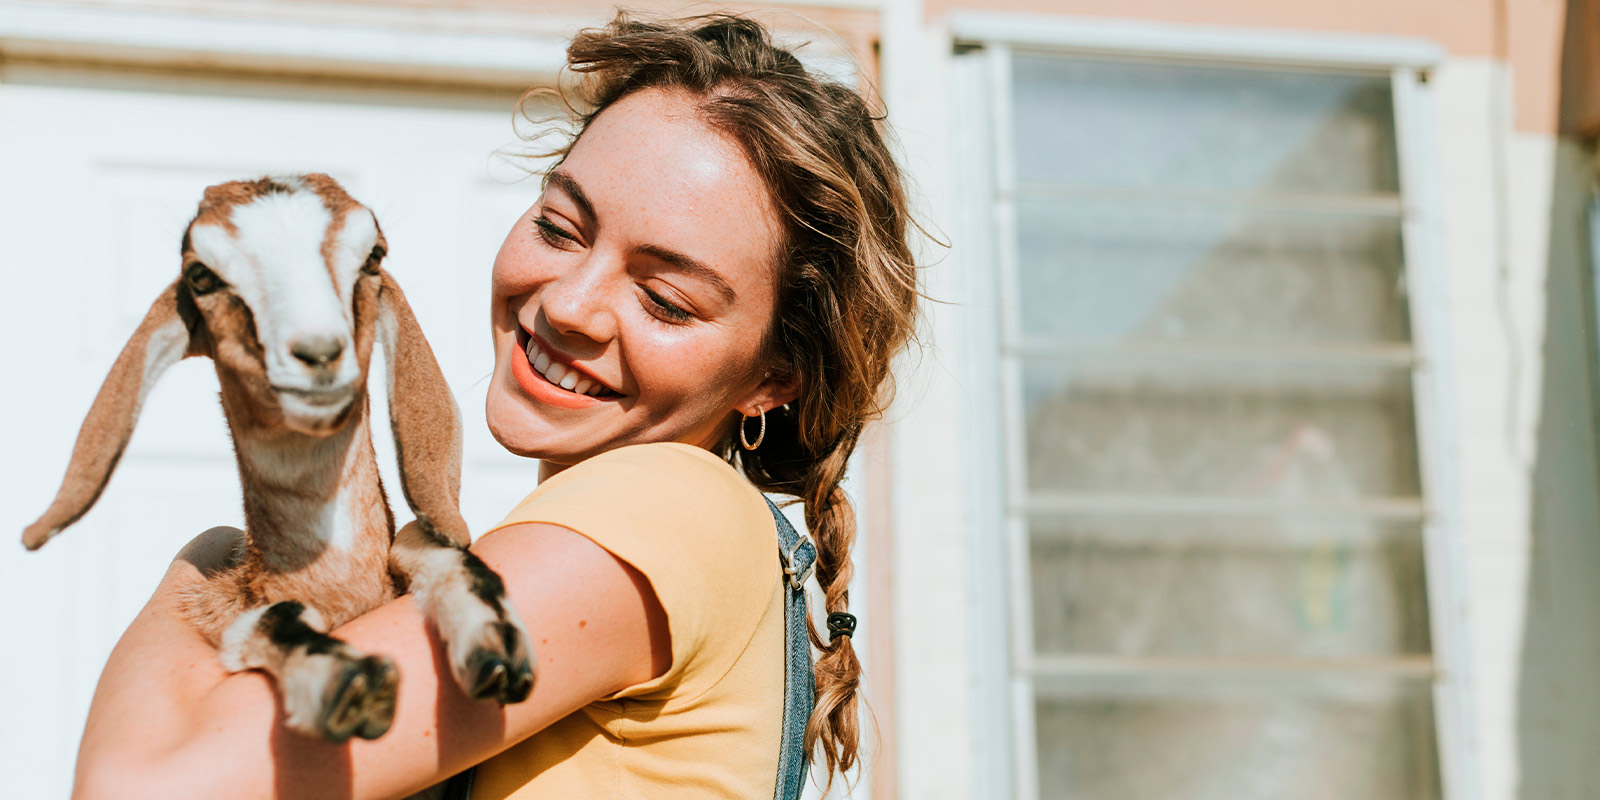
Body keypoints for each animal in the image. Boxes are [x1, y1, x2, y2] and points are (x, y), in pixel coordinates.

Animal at [25, 175, 534, 742]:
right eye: (200, 275)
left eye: (373, 256)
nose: (319, 353)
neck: (341, 592)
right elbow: (270, 617)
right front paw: (351, 685)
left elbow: (428, 543)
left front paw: (499, 649)